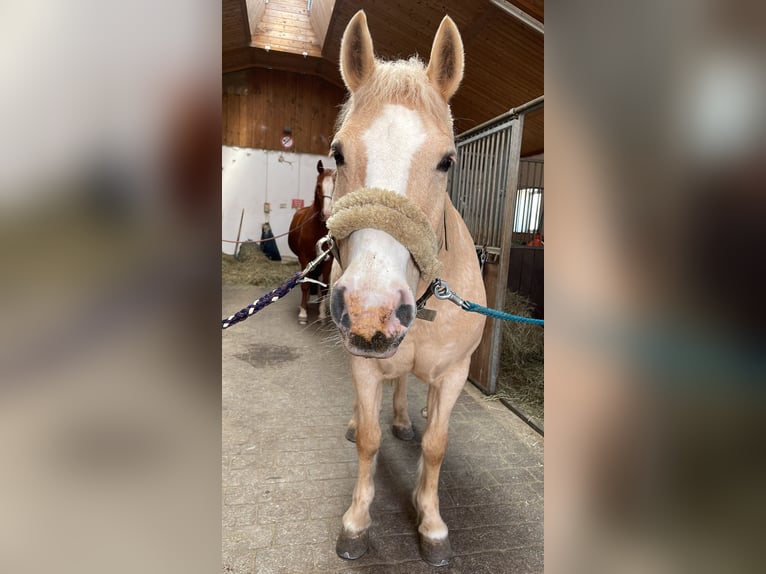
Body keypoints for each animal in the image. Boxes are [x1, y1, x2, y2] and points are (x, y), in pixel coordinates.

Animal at [288, 160, 336, 324]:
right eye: (319, 186)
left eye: (335, 185)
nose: (326, 214)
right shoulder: (304, 258)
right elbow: (305, 285)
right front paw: (303, 313)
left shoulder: (328, 260)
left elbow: (325, 286)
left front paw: (321, 314)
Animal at [328, 11, 486, 568]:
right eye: (337, 152)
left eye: (447, 161)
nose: (370, 311)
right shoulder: (362, 361)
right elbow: (369, 440)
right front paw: (356, 523)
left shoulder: (455, 372)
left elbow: (436, 445)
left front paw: (431, 521)